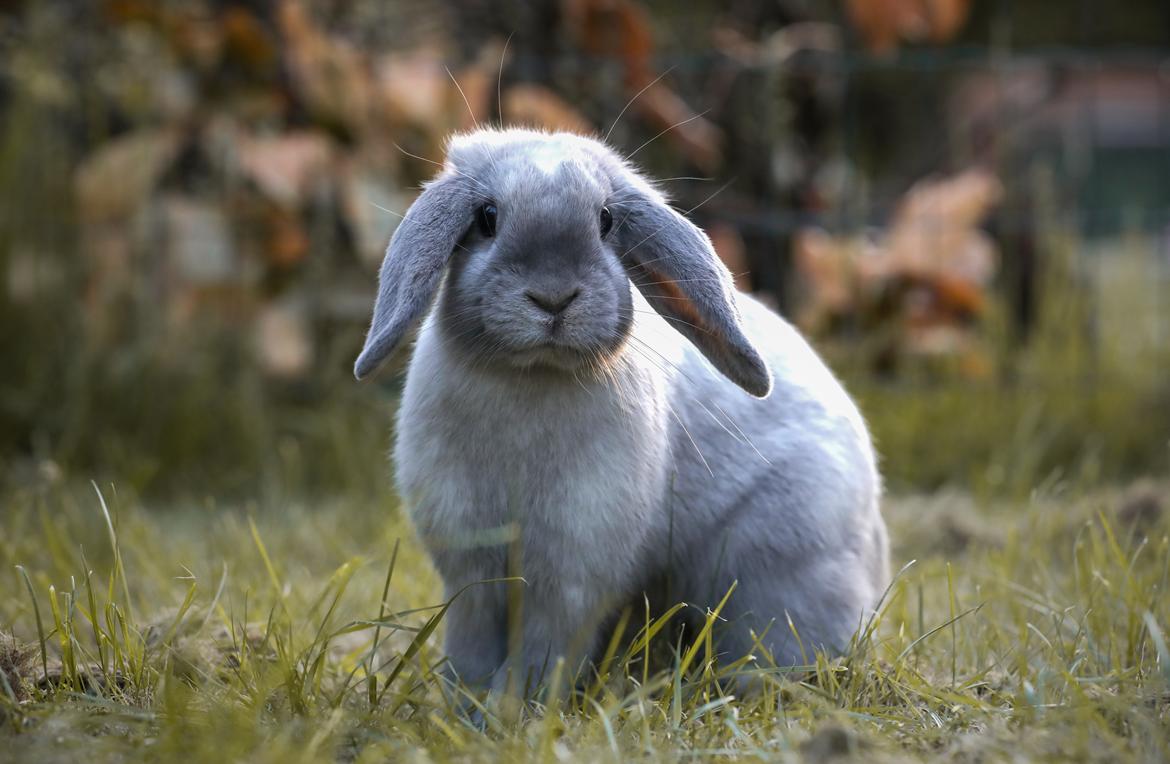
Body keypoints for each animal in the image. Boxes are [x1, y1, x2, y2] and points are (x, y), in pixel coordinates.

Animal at [353, 128, 884, 692]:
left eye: (606, 220)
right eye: (487, 217)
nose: (553, 298)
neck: (534, 374)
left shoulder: (574, 571)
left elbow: (545, 645)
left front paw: (516, 704)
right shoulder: (471, 567)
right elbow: (474, 642)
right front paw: (466, 701)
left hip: (785, 565)